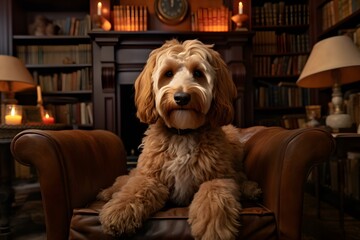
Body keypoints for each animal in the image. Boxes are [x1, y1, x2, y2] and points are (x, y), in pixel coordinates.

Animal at [98, 39, 262, 240]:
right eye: (168, 73)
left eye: (198, 73)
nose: (182, 97)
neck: (183, 133)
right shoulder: (152, 177)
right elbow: (136, 188)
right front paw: (119, 212)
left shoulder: (219, 177)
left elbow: (213, 194)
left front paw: (214, 228)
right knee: (127, 178)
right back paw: (108, 192)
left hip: (234, 144)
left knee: (239, 176)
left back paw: (250, 189)